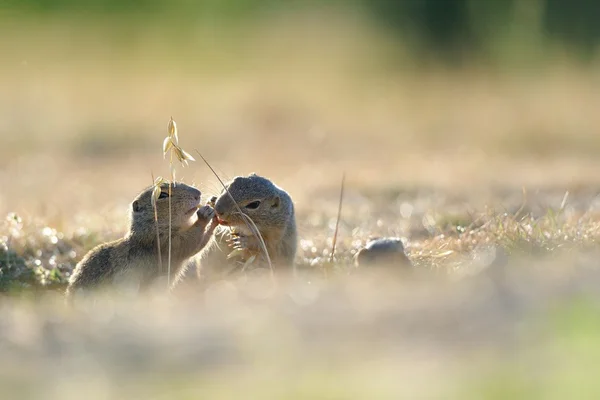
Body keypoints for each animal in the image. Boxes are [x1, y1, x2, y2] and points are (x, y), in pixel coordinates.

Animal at [65, 182, 218, 300]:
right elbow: (192, 242)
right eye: (162, 195)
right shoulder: (167, 242)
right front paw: (205, 214)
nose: (198, 193)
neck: (151, 226)